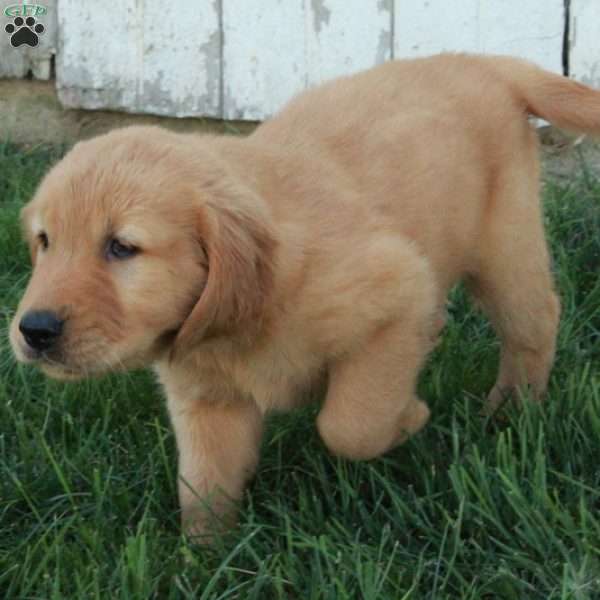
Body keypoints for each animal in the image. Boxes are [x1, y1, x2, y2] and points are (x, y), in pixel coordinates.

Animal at [8, 54, 600, 536]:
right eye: (45, 241)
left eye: (122, 247)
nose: (34, 330)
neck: (237, 317)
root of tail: (482, 62)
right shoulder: (206, 397)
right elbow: (203, 486)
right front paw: (204, 563)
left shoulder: (399, 290)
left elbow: (350, 425)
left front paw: (408, 418)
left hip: (505, 245)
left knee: (535, 322)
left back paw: (511, 409)